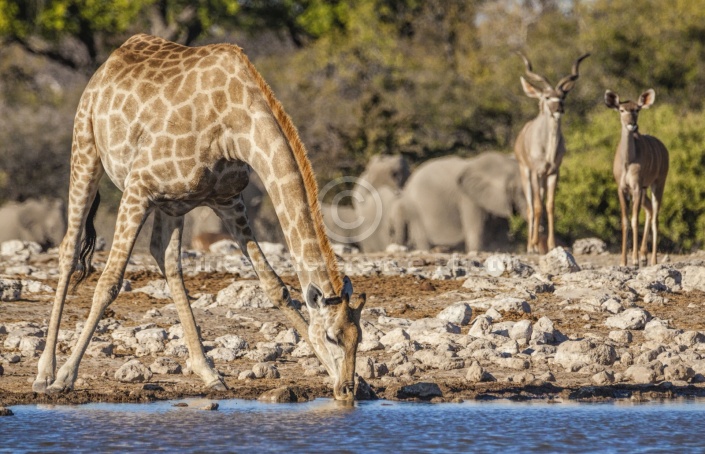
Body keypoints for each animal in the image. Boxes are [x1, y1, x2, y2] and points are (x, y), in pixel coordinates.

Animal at [31, 34, 364, 400]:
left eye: (358, 339)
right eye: (332, 336)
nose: (347, 388)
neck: (235, 127)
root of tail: (110, 61)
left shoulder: (227, 200)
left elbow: (275, 287)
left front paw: (344, 378)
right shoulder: (139, 186)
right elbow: (109, 283)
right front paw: (65, 377)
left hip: (172, 204)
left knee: (165, 258)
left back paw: (208, 372)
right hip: (86, 148)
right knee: (68, 249)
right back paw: (45, 373)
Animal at [390, 152, 528, 252]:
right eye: (521, 193)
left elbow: (501, 229)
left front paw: (501, 249)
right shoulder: (467, 198)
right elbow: (476, 228)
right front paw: (477, 251)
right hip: (414, 208)